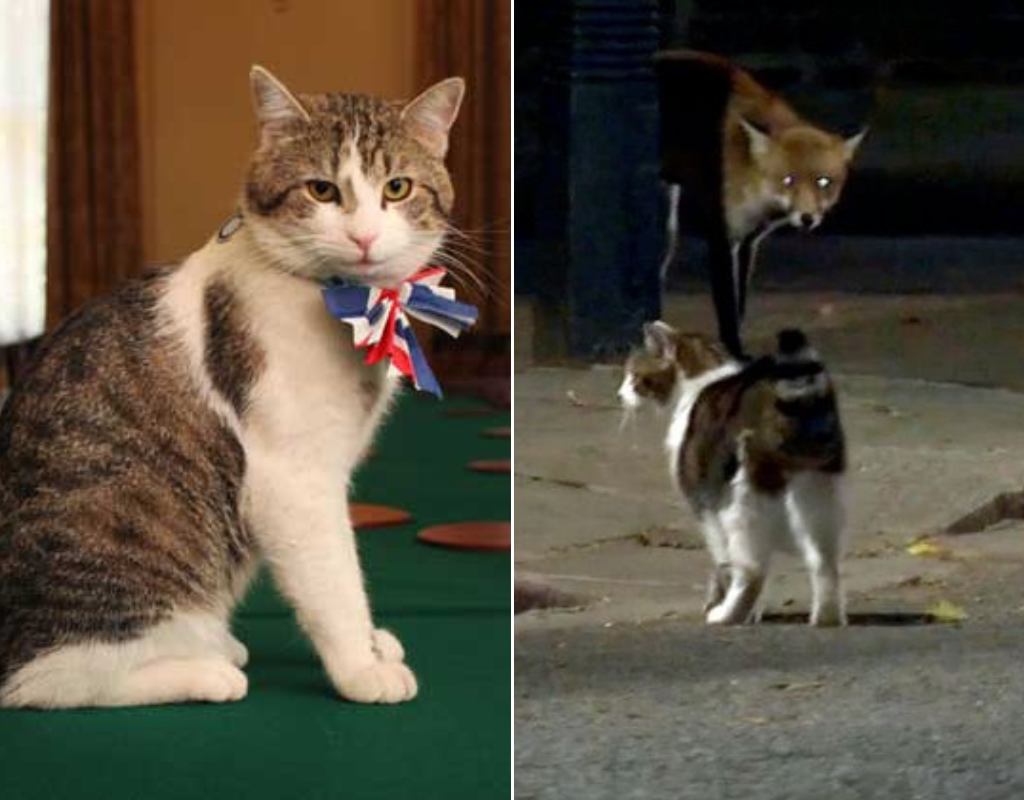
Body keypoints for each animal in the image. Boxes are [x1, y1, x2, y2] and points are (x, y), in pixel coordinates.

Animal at [0, 67, 464, 704]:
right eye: (322, 191)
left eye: (397, 188)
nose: (365, 237)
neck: (347, 302)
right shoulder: (293, 480)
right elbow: (336, 578)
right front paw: (361, 667)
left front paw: (372, 646)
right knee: (48, 679)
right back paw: (207, 669)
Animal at [622, 323, 847, 622]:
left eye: (634, 376)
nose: (620, 394)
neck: (702, 375)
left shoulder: (705, 504)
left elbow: (722, 562)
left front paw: (725, 602)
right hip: (818, 487)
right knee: (824, 561)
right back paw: (827, 618)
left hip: (741, 499)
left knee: (752, 569)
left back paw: (727, 614)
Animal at [655, 51, 864, 356]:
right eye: (788, 180)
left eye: (823, 182)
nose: (807, 219)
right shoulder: (721, 235)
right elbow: (727, 308)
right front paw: (734, 351)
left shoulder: (749, 241)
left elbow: (740, 303)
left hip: (667, 230)